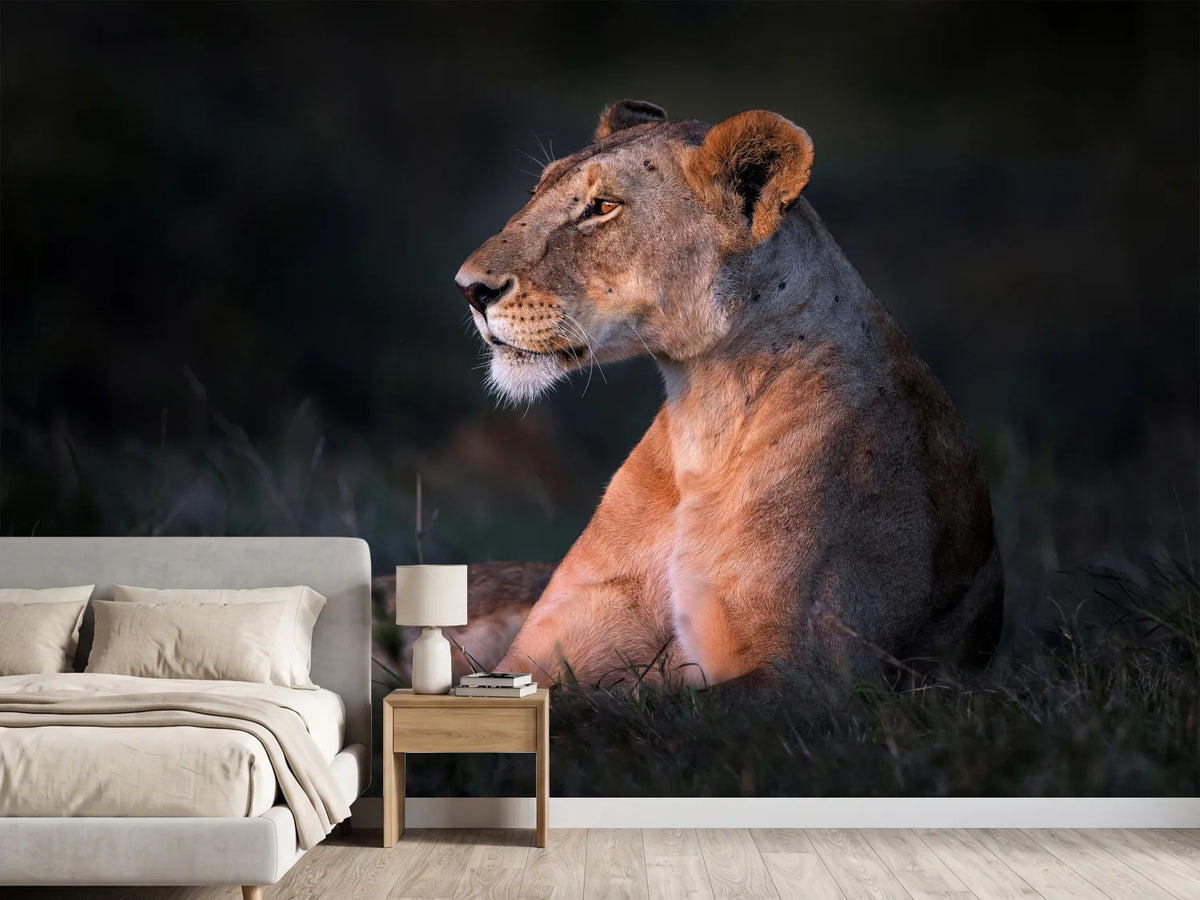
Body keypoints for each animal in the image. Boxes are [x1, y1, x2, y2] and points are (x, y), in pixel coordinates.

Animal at [454, 100, 1003, 688]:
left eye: (603, 207)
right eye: (537, 190)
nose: (469, 289)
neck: (702, 417)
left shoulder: (812, 677)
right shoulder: (535, 658)